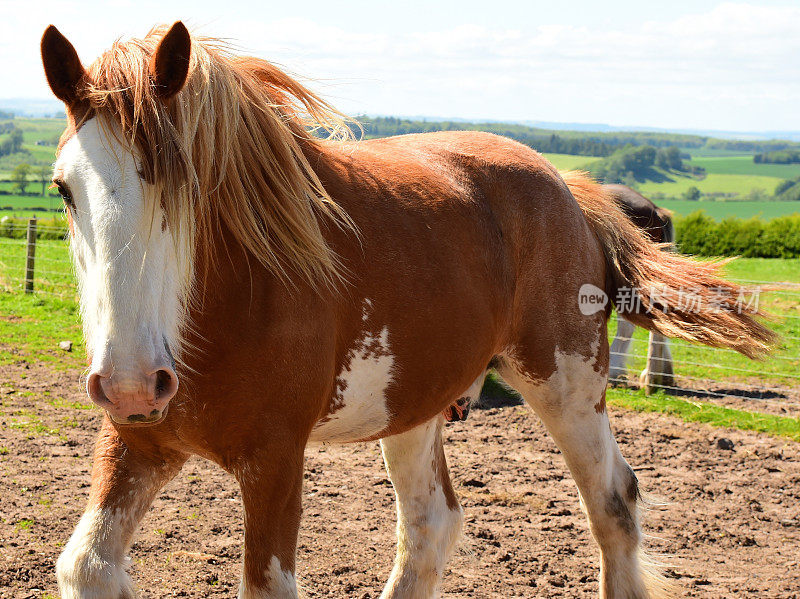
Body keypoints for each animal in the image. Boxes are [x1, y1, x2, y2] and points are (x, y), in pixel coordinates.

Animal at [40, 23, 772, 599]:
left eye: (185, 184)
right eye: (64, 188)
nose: (133, 382)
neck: (224, 304)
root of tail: (570, 188)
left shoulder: (275, 460)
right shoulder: (138, 443)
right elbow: (87, 566)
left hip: (565, 382)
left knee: (613, 503)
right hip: (415, 403)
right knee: (430, 528)